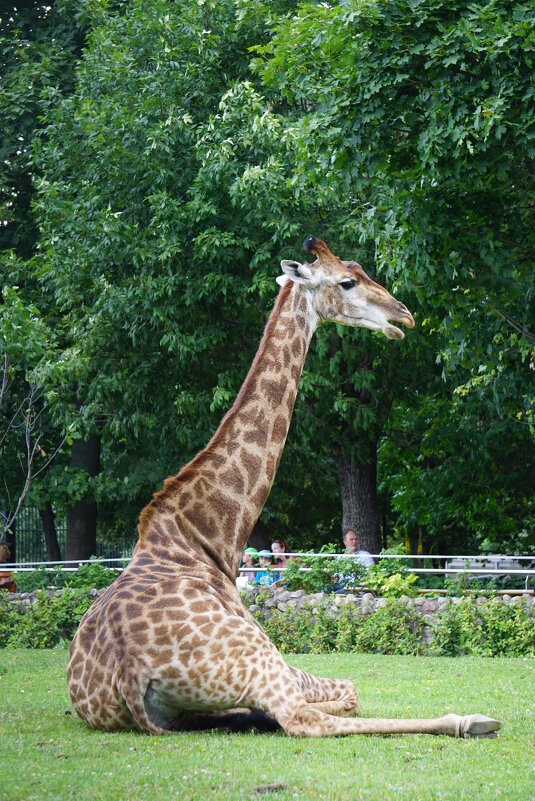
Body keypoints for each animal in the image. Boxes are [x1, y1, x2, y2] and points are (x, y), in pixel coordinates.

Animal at [68, 236, 502, 736]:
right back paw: (472, 719)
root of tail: (129, 671)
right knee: (305, 718)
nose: (404, 315)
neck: (206, 535)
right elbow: (349, 693)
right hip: (259, 660)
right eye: (346, 281)